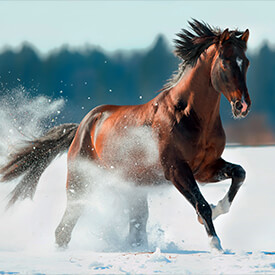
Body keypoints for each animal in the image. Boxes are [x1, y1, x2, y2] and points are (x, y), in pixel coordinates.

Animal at [0, 20, 251, 252]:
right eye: (225, 62)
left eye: (246, 62)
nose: (243, 106)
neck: (188, 115)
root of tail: (82, 127)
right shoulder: (176, 170)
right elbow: (202, 205)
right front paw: (215, 244)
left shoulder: (205, 168)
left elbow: (239, 173)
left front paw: (219, 210)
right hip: (81, 183)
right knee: (64, 228)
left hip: (133, 188)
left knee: (135, 226)